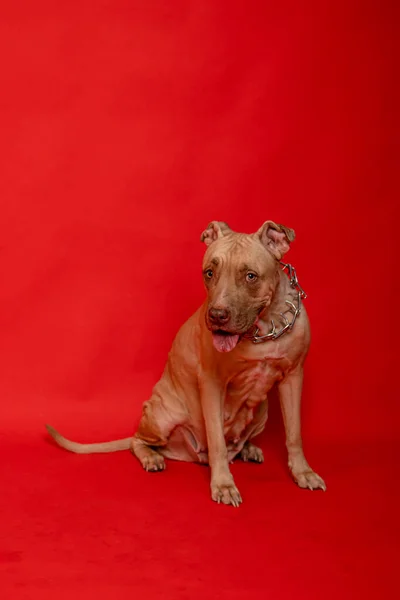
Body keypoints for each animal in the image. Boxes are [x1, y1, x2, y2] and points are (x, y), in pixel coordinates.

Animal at [47, 221, 328, 506]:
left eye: (250, 276)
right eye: (209, 273)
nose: (216, 315)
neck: (264, 330)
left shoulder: (293, 378)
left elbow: (294, 433)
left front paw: (303, 472)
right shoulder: (212, 384)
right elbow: (216, 440)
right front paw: (223, 485)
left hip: (262, 412)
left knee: (238, 441)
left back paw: (248, 449)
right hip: (161, 416)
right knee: (139, 440)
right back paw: (152, 457)